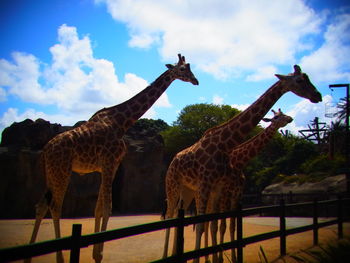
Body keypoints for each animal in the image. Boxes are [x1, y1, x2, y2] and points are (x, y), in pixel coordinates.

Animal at [27, 53, 197, 263]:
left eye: (189, 67)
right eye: (182, 69)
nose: (196, 81)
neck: (122, 121)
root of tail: (45, 150)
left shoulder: (109, 165)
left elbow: (99, 207)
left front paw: (95, 252)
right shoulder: (110, 162)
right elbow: (108, 206)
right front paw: (99, 254)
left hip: (50, 172)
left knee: (41, 205)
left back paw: (29, 256)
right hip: (62, 171)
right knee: (55, 206)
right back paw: (60, 258)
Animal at [209, 109, 294, 263]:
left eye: (284, 113)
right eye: (276, 117)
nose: (290, 118)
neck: (238, 162)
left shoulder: (237, 194)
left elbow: (233, 225)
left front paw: (234, 257)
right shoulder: (226, 193)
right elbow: (222, 226)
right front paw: (221, 258)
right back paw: (211, 257)